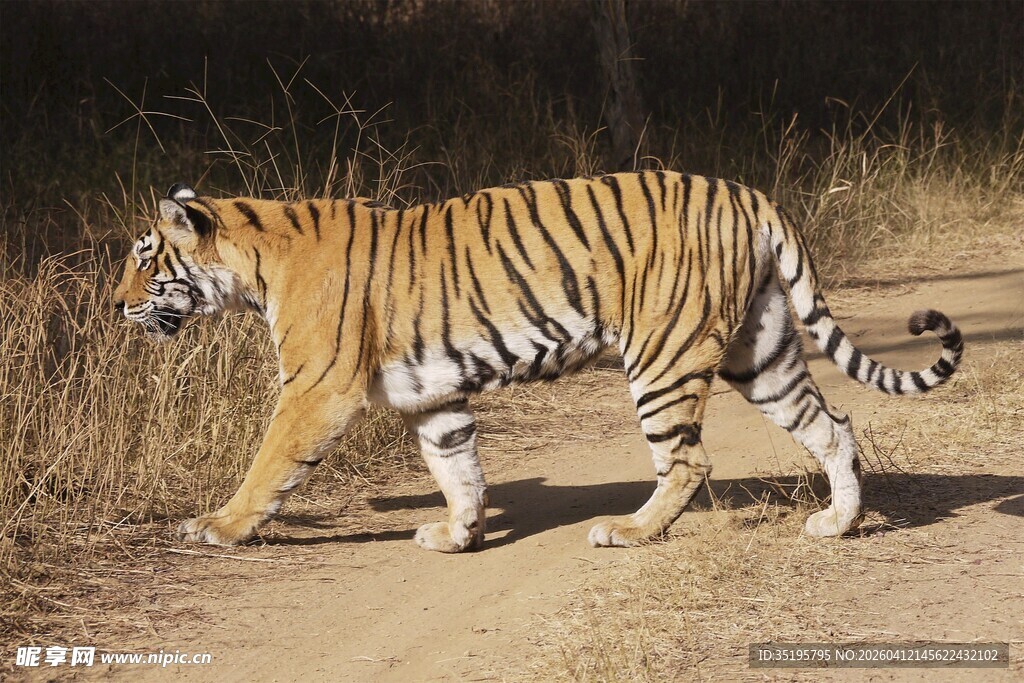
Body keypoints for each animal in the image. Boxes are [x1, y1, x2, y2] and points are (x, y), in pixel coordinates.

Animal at [113, 173, 963, 552]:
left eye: (145, 259)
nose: (115, 305)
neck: (251, 265)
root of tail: (748, 192)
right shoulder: (432, 394)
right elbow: (457, 465)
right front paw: (457, 534)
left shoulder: (316, 389)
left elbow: (267, 464)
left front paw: (216, 525)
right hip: (764, 351)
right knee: (834, 425)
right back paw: (837, 522)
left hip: (662, 355)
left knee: (689, 459)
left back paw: (628, 529)